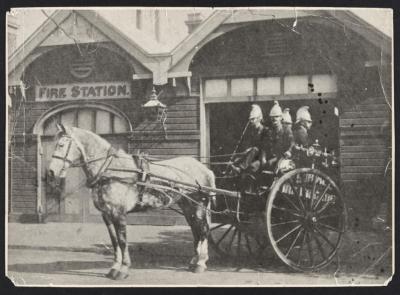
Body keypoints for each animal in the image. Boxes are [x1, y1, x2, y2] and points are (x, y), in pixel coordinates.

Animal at [46, 123, 216, 280]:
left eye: (61, 145)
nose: (50, 172)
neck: (112, 170)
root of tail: (204, 168)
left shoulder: (119, 213)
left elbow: (122, 241)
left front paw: (123, 269)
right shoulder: (107, 215)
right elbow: (114, 241)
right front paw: (114, 268)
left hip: (198, 205)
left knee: (203, 230)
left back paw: (200, 263)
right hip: (188, 206)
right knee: (196, 231)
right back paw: (194, 261)